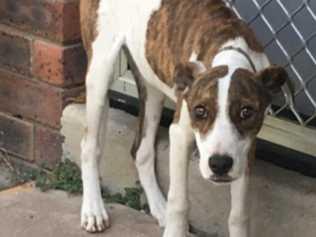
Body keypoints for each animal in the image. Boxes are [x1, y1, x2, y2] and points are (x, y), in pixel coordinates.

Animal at [79, 0, 288, 237]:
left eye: (247, 112)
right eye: (200, 111)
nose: (219, 164)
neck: (230, 53)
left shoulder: (246, 149)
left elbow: (239, 214)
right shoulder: (179, 135)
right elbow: (179, 201)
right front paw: (175, 229)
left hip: (151, 83)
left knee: (141, 151)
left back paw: (160, 208)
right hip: (100, 71)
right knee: (89, 146)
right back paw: (93, 210)